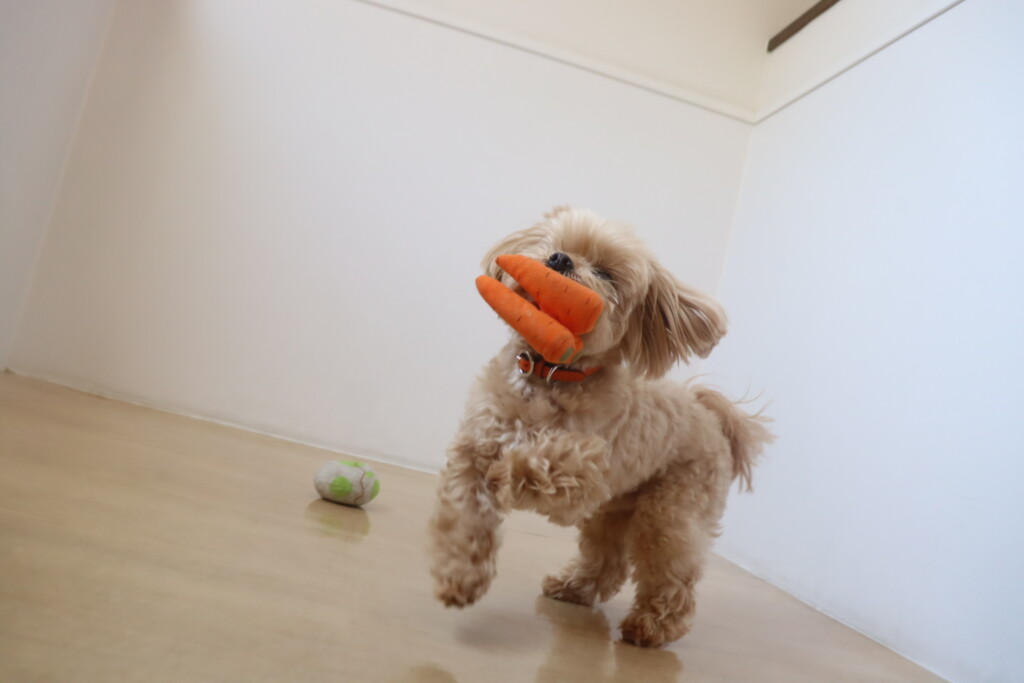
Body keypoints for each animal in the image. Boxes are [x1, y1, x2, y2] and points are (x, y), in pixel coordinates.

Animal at [428, 207, 772, 647]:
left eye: (606, 273)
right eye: (559, 246)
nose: (559, 260)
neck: (549, 373)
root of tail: (710, 415)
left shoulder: (586, 474)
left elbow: (542, 462)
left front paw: (508, 472)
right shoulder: (472, 451)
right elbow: (465, 519)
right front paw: (458, 579)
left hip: (667, 513)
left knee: (674, 572)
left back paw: (654, 625)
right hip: (614, 512)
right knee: (608, 562)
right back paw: (573, 587)